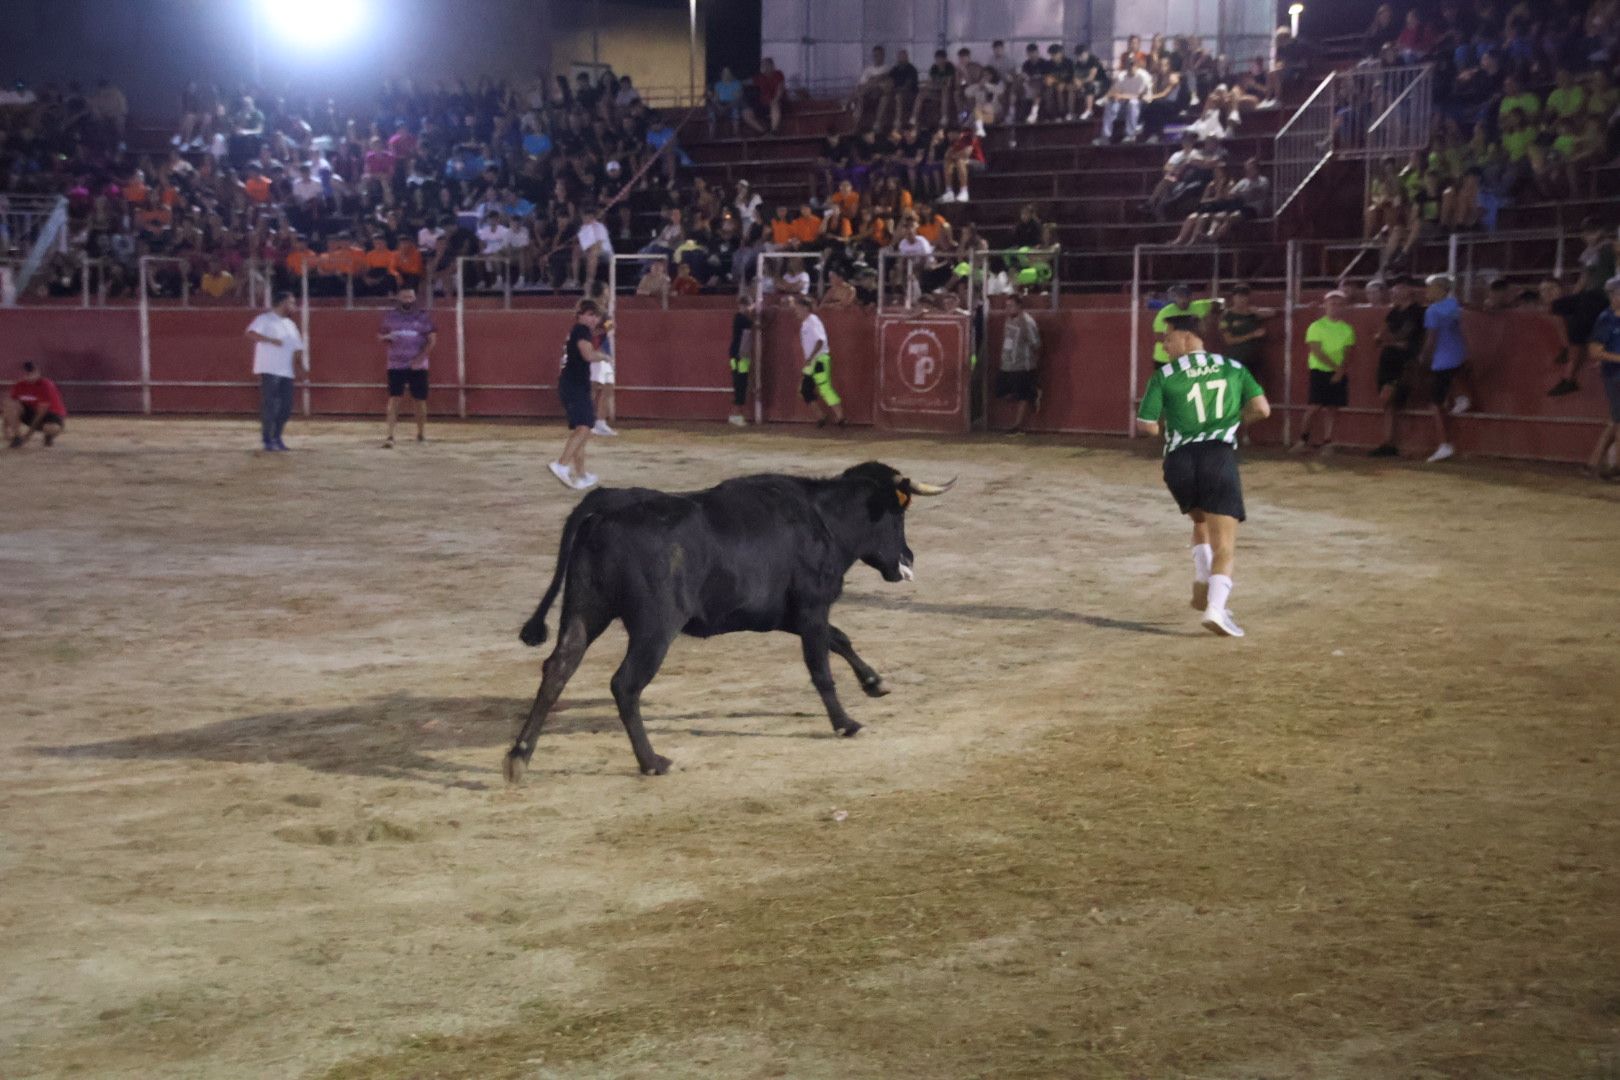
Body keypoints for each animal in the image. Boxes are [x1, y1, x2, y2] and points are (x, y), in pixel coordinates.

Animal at [495, 459, 946, 780]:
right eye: (898, 516)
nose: (909, 558)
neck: (824, 520)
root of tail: (603, 509)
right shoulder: (812, 608)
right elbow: (821, 666)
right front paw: (845, 723)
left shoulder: (785, 614)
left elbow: (841, 639)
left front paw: (874, 682)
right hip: (655, 629)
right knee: (625, 684)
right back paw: (652, 761)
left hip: (585, 612)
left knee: (559, 668)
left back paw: (519, 757)